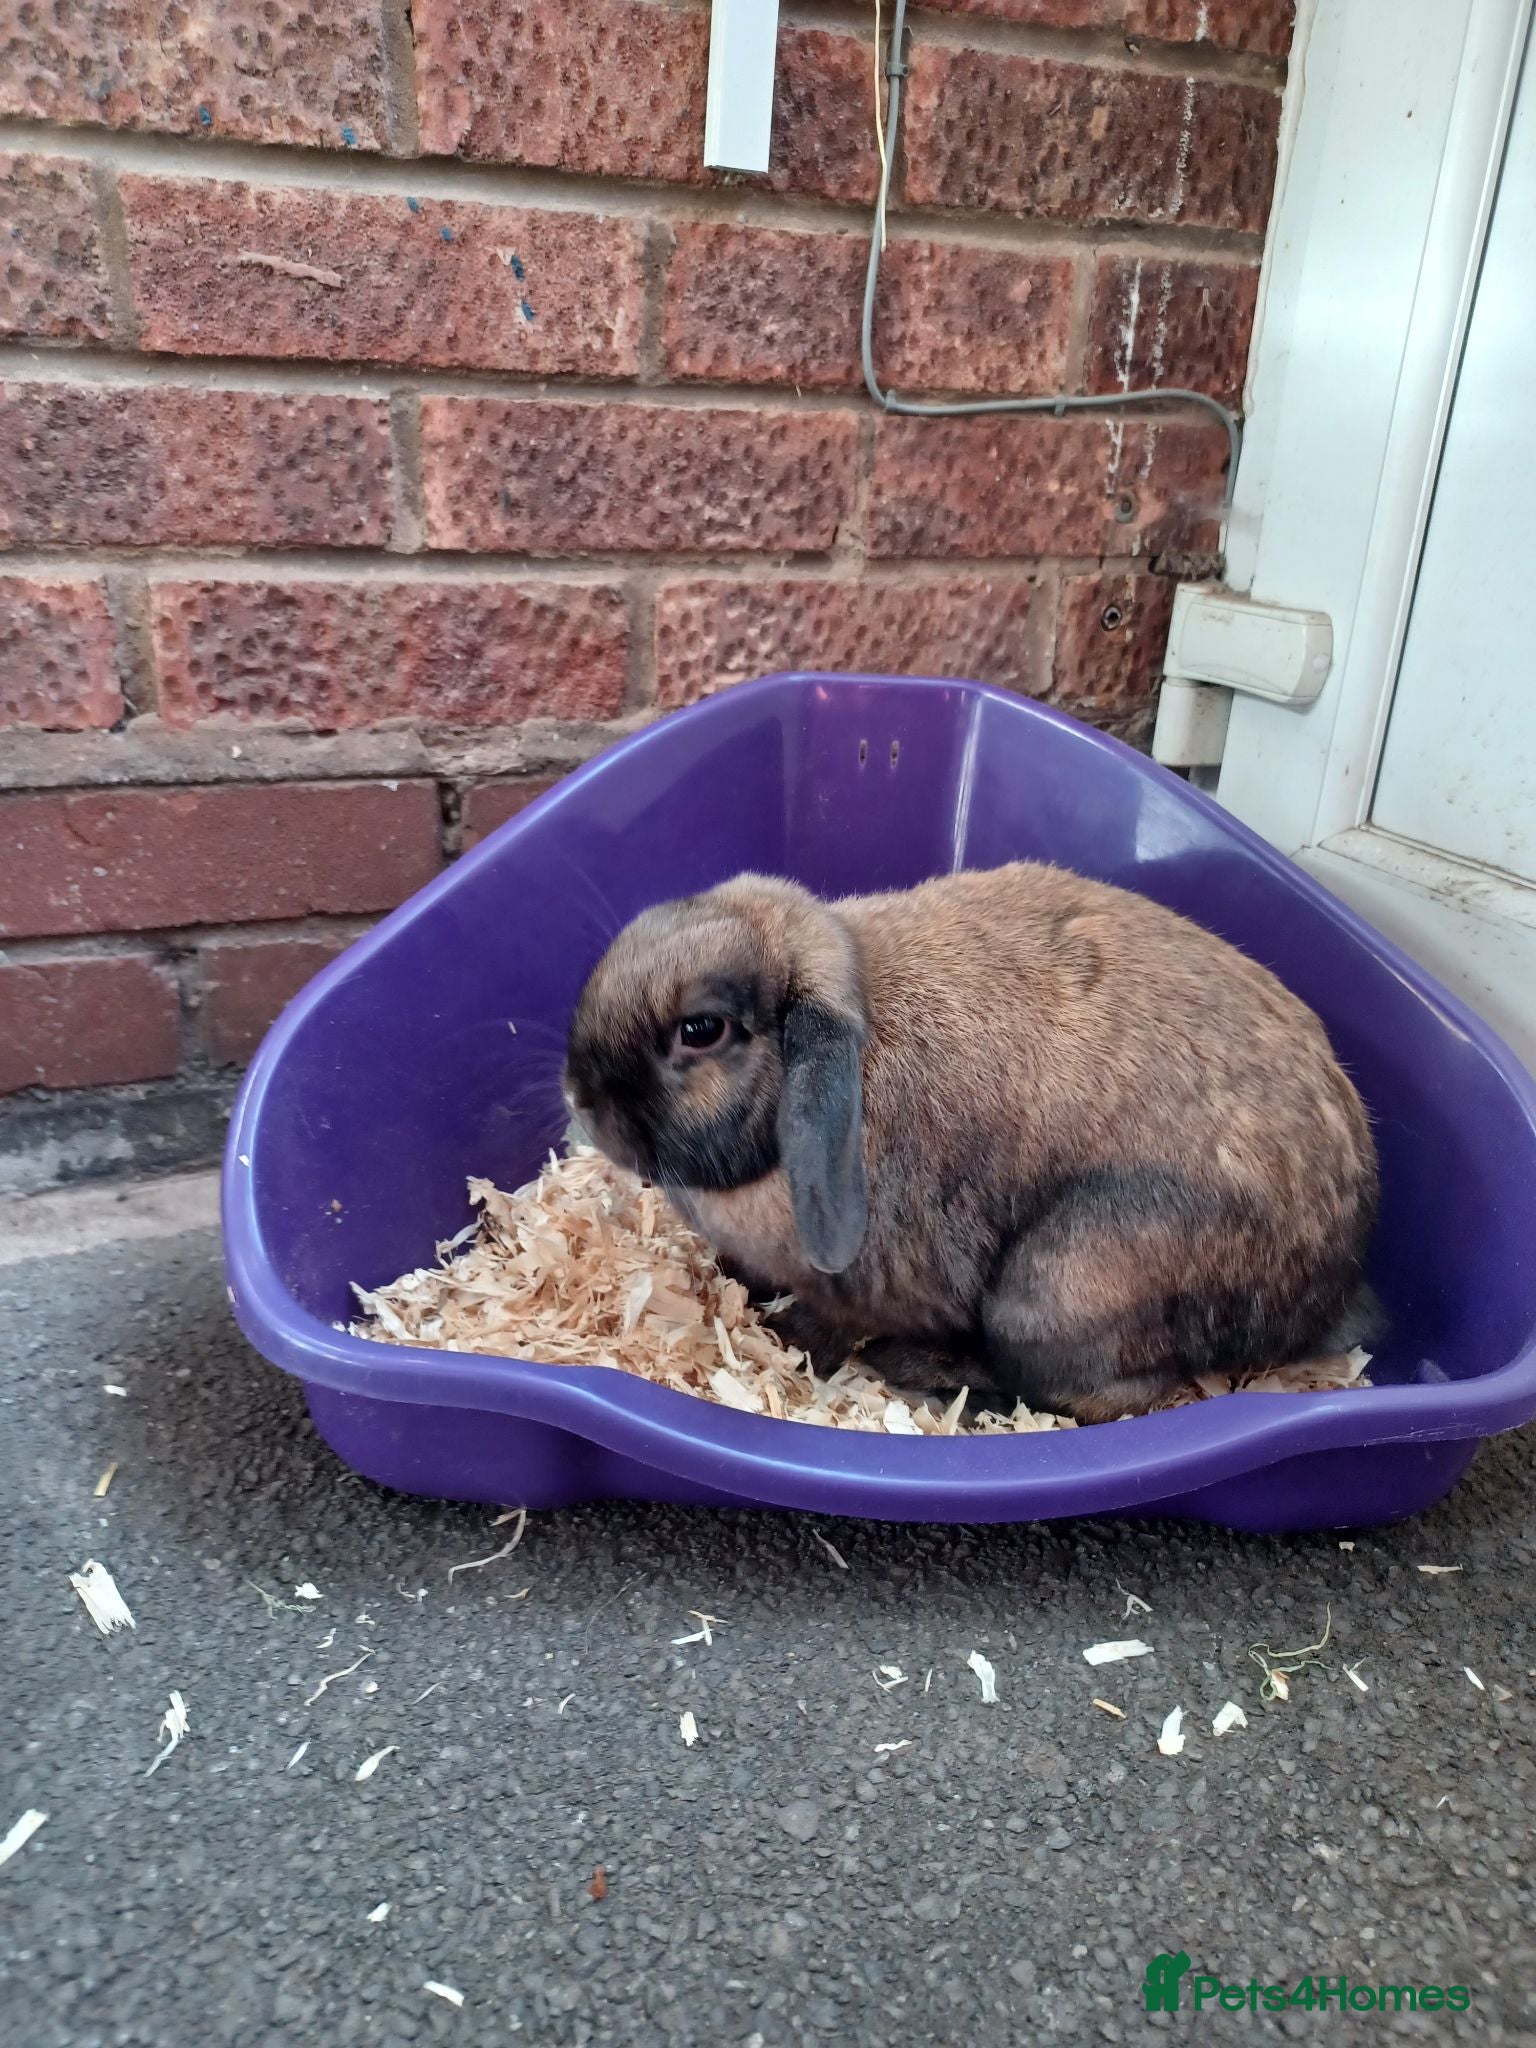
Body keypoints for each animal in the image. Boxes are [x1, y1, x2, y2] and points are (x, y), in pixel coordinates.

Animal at [562, 863, 1380, 1422]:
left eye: (701, 1029)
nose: (579, 1097)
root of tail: (1329, 1288)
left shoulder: (865, 1290)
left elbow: (828, 1324)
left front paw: (787, 1338)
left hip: (1057, 1289)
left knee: (1106, 1397)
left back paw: (934, 1377)